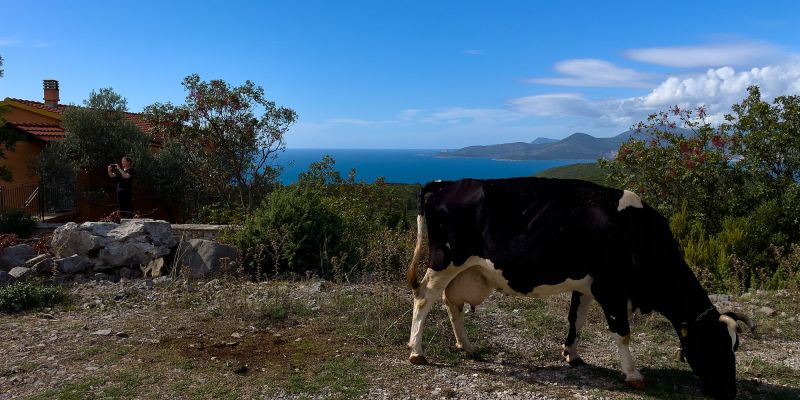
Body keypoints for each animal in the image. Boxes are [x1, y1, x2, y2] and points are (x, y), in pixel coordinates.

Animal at [406, 177, 753, 400]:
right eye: (715, 343)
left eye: (735, 346)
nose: (729, 391)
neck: (637, 234)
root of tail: (447, 183)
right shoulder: (612, 288)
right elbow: (622, 333)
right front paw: (633, 375)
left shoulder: (586, 285)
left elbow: (577, 319)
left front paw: (571, 354)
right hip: (445, 261)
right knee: (425, 297)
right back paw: (417, 352)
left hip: (465, 270)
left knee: (451, 302)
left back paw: (466, 346)